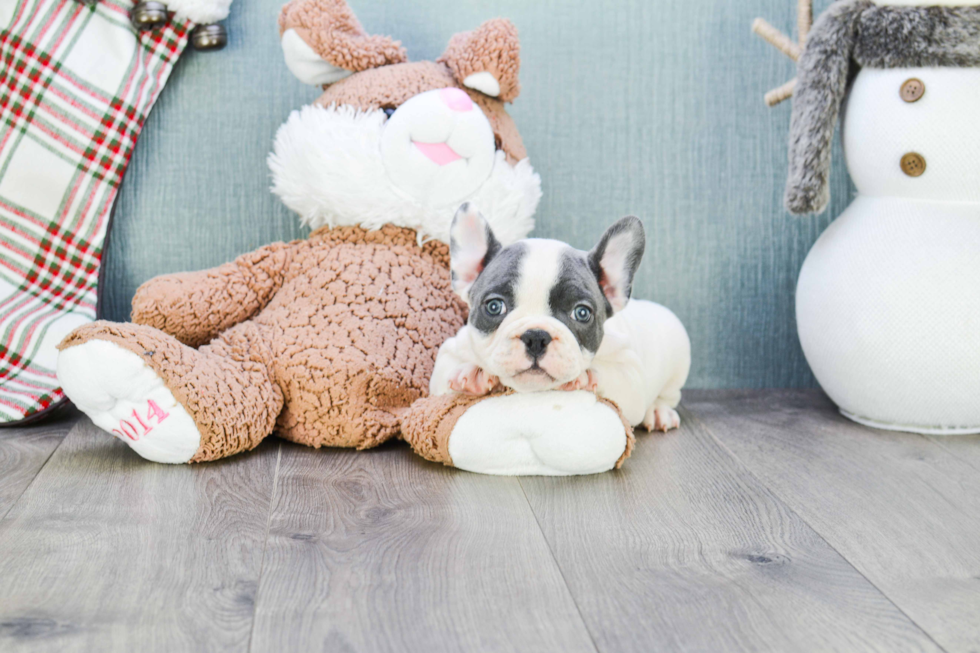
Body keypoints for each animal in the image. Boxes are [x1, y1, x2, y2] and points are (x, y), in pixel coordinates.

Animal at [432, 201, 692, 430]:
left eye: (582, 312)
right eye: (494, 307)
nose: (536, 337)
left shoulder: (630, 375)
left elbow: (614, 376)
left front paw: (585, 377)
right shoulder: (449, 355)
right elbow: (446, 373)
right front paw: (471, 374)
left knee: (667, 395)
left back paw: (658, 412)